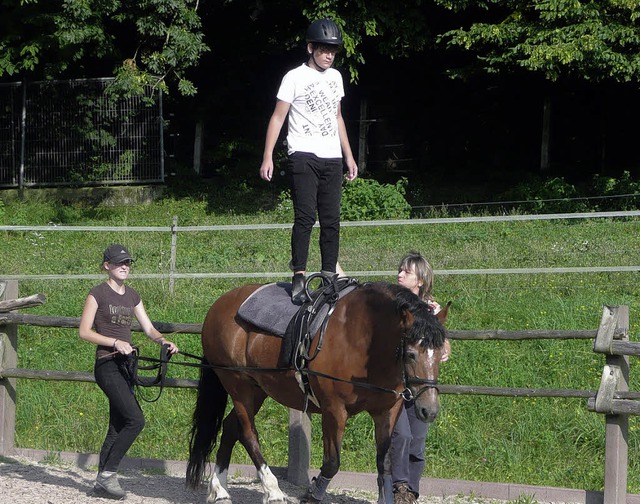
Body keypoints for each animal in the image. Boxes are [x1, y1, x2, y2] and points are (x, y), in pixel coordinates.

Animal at [186, 282, 450, 502]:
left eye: (441, 353)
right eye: (411, 354)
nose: (429, 409)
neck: (364, 341)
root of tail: (220, 304)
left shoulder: (387, 410)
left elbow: (384, 463)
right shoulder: (334, 410)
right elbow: (332, 462)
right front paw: (312, 494)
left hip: (257, 388)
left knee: (231, 426)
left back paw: (220, 490)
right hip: (238, 385)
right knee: (248, 433)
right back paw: (273, 490)